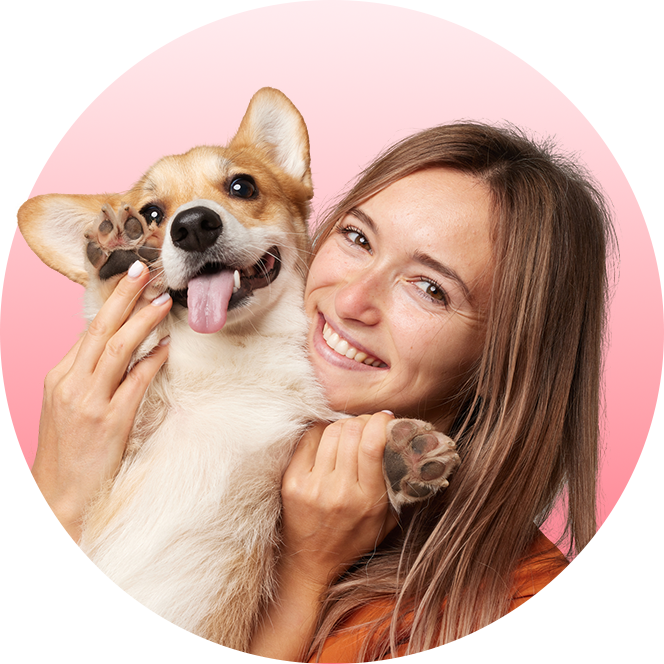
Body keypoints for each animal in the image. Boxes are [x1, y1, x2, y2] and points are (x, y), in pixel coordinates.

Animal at [16, 85, 462, 652]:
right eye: (152, 213)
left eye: (241, 186)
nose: (192, 226)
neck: (235, 355)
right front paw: (118, 257)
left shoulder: (291, 440)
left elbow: (331, 429)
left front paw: (399, 453)